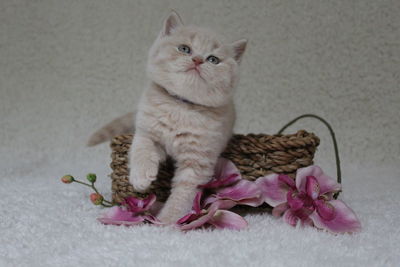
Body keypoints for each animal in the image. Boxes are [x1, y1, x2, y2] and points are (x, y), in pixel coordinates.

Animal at [88, 11, 247, 224]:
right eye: (185, 49)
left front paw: (167, 220)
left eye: (213, 60)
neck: (181, 106)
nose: (197, 60)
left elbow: (183, 194)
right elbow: (141, 150)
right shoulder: (146, 132)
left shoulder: (197, 162)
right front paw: (141, 177)